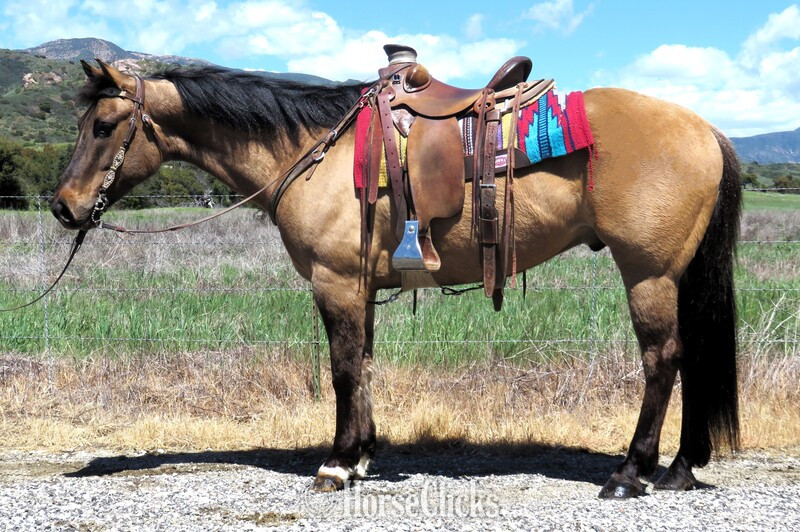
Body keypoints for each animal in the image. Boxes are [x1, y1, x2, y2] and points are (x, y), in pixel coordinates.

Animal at [50, 59, 741, 499]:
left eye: (103, 127)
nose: (63, 206)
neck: (313, 152)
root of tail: (706, 128)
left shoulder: (332, 284)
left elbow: (341, 369)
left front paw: (335, 464)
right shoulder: (358, 288)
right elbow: (363, 366)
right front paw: (362, 454)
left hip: (649, 274)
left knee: (663, 361)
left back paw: (630, 473)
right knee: (691, 358)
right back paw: (679, 468)